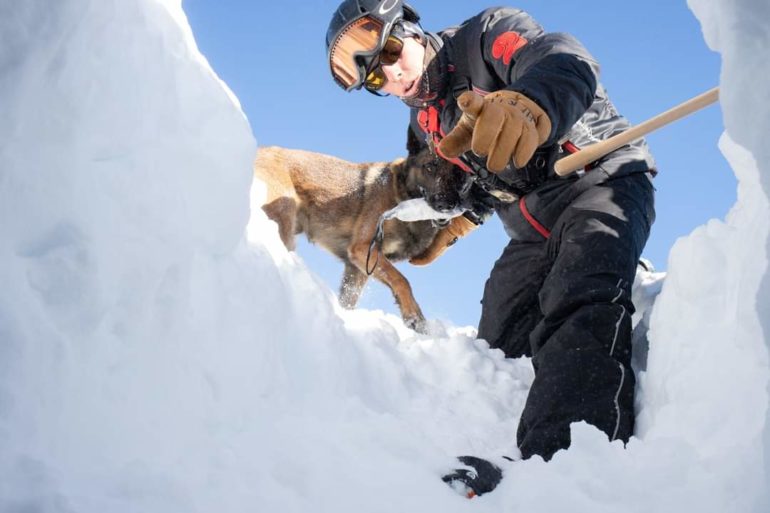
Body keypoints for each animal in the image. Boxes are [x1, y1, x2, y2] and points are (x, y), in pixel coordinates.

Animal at [254, 134, 468, 332]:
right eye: (430, 167)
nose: (447, 204)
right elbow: (402, 279)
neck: (400, 193)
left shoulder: (358, 268)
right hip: (284, 218)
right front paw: (414, 317)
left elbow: (348, 301)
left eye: (458, 175)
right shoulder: (364, 249)